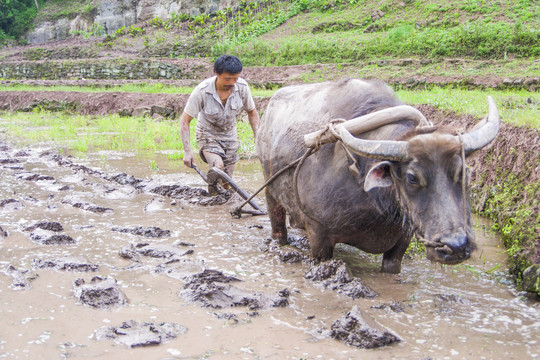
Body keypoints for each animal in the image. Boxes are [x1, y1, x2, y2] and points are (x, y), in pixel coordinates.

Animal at [255, 79, 500, 272]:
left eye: (463, 171)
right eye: (412, 178)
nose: (456, 246)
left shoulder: (403, 239)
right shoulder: (319, 235)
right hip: (270, 191)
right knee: (277, 223)